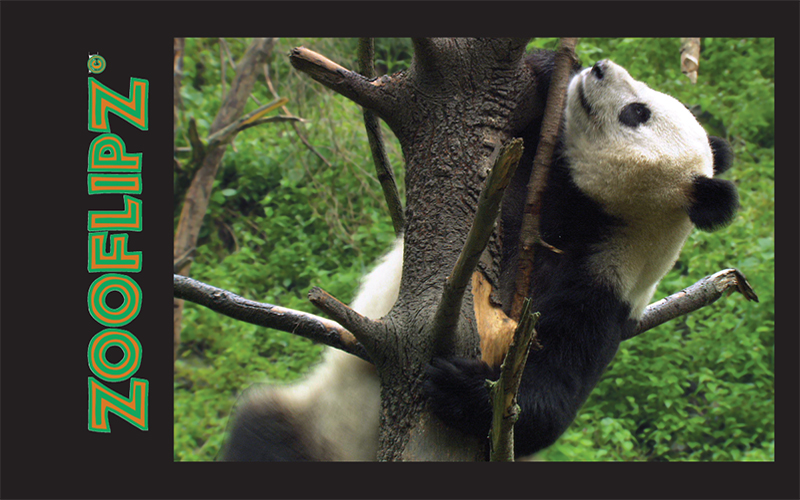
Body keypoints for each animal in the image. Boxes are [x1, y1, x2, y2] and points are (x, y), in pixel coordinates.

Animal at [220, 54, 738, 461]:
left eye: (637, 112)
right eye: (648, 96)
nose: (599, 67)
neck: (603, 215)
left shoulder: (603, 289)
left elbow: (548, 400)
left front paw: (463, 387)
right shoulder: (536, 178)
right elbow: (521, 127)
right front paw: (552, 67)